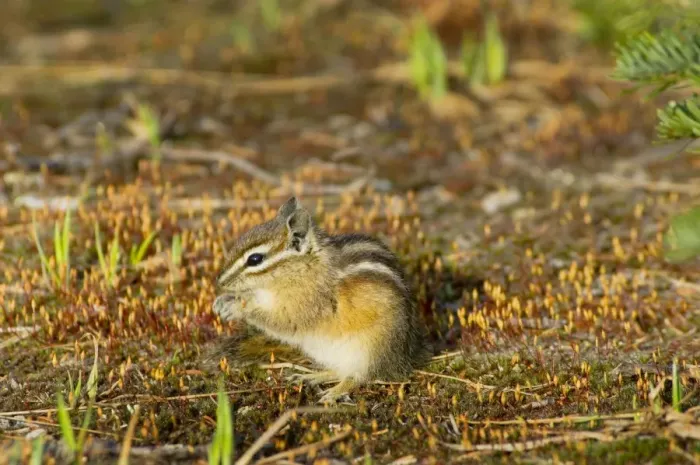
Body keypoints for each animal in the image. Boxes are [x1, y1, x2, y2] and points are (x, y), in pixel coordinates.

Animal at [213, 196, 431, 403]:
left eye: (255, 259)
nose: (220, 281)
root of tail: (403, 359)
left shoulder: (303, 307)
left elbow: (280, 321)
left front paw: (238, 308)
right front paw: (224, 301)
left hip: (370, 351)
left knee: (359, 377)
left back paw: (334, 392)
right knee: (339, 371)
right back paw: (311, 376)